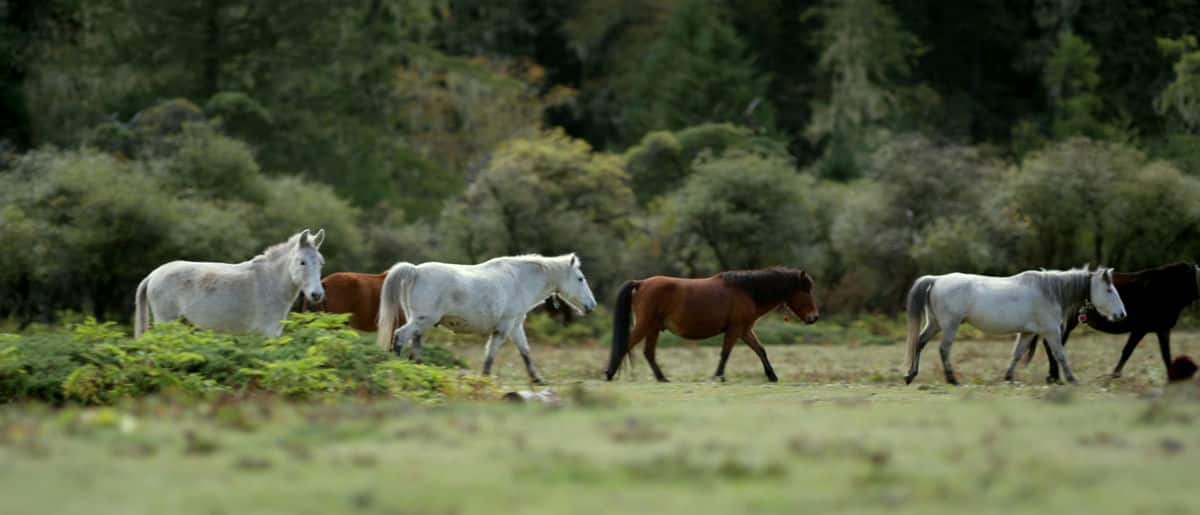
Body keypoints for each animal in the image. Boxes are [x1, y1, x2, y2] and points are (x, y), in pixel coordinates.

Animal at [135, 229, 326, 336]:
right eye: (302, 262)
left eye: (321, 263)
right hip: (166, 321)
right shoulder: (265, 334)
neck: (271, 284)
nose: (316, 295)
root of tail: (153, 275)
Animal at [376, 253, 597, 381]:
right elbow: (491, 355)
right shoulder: (504, 327)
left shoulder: (516, 326)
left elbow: (525, 352)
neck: (520, 280)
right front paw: (484, 379)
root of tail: (415, 271)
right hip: (421, 321)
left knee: (414, 348)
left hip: (420, 324)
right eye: (580, 278)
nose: (591, 306)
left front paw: (537, 379)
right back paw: (393, 368)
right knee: (399, 337)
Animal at [604, 268, 820, 381]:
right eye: (806, 290)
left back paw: (662, 378)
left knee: (648, 353)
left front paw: (772, 376)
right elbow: (725, 353)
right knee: (625, 346)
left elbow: (761, 350)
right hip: (645, 326)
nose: (815, 317)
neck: (747, 291)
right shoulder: (735, 329)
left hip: (653, 328)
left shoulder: (745, 330)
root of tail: (640, 283)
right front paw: (718, 376)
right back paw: (609, 374)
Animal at [907, 266, 1123, 384]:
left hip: (935, 323)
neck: (1050, 291)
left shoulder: (1027, 333)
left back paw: (910, 375)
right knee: (943, 349)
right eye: (1109, 290)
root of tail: (936, 280)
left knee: (920, 342)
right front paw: (1072, 379)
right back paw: (952, 380)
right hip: (950, 325)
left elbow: (1017, 354)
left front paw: (1008, 377)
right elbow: (1060, 355)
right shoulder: (1051, 331)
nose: (1122, 314)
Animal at [1022, 262, 1200, 379]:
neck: (1166, 289)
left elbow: (1164, 355)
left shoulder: (1161, 330)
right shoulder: (1142, 329)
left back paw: (1053, 376)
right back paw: (1054, 377)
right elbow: (1129, 351)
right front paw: (1114, 375)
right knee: (1052, 345)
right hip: (1066, 324)